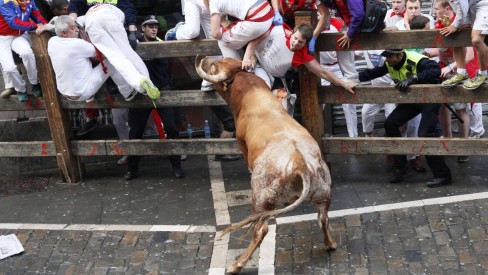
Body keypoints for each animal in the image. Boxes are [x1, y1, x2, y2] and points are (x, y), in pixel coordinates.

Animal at [194, 55, 336, 274]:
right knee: (323, 217)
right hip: (323, 193)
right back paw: (330, 244)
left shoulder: (241, 142)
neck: (251, 91)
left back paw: (237, 264)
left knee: (261, 229)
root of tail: (300, 163)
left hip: (260, 199)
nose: (206, 57)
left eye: (216, 65)